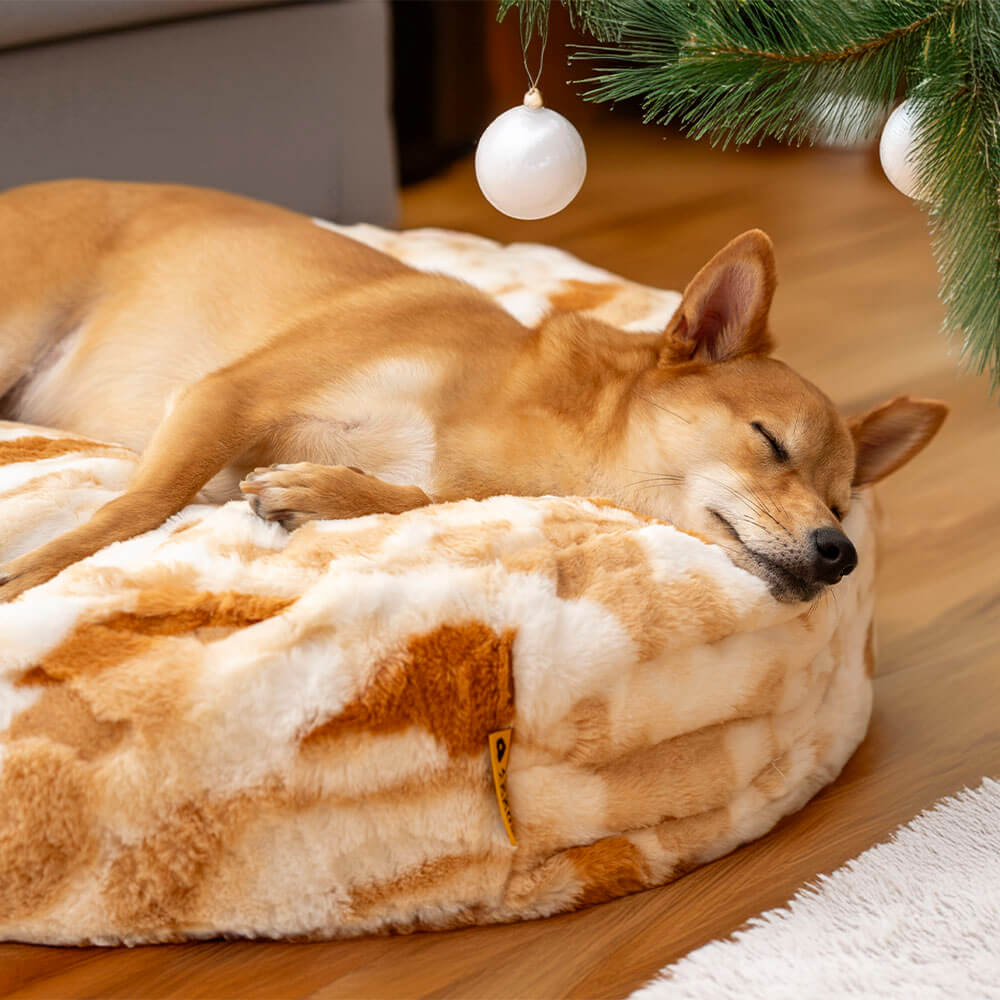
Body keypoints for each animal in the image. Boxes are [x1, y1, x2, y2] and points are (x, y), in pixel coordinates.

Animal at [0, 180, 944, 600]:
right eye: (770, 444)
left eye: (842, 501)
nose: (840, 552)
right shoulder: (228, 394)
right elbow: (138, 507)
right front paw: (30, 578)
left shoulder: (464, 486)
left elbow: (421, 499)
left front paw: (322, 491)